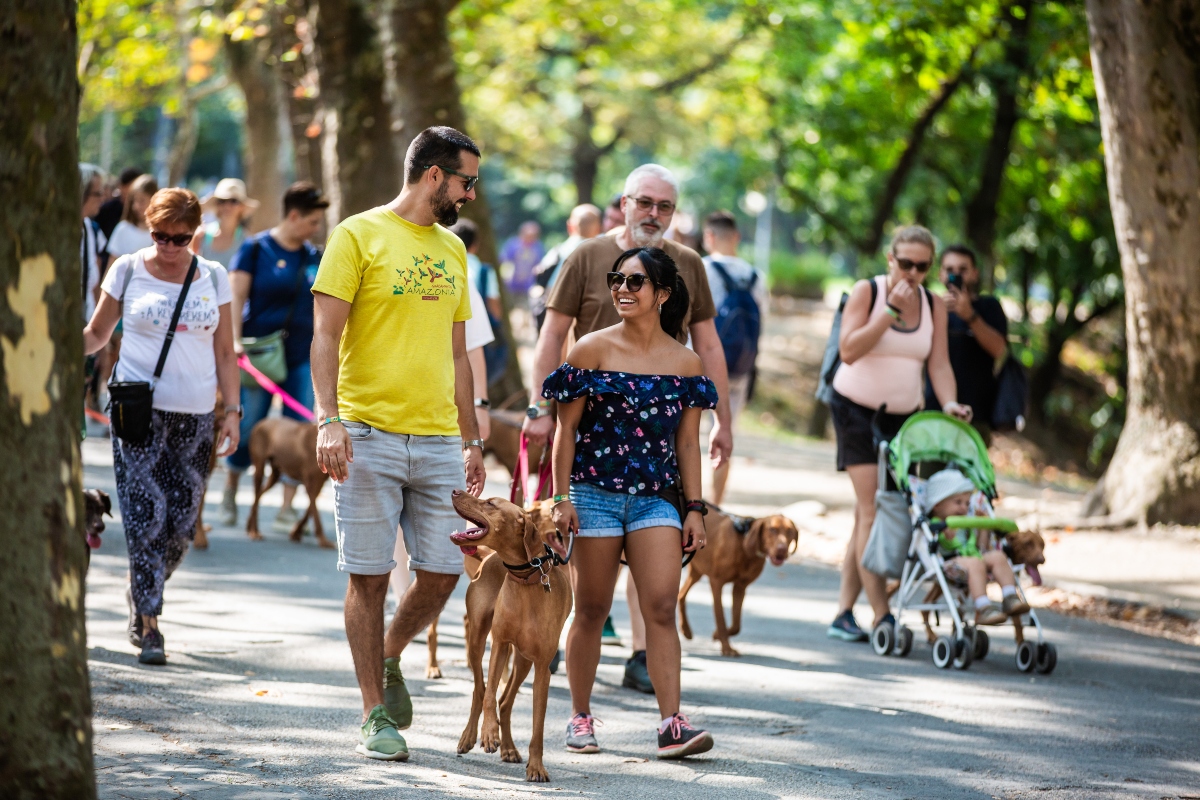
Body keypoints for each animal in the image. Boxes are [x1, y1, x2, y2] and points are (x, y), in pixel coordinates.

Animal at [244, 417, 333, 546]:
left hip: (275, 474)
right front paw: (323, 540)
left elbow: (310, 509)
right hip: (259, 467)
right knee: (256, 497)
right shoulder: (310, 484)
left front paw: (295, 533)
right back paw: (254, 532)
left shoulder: (319, 483)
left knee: (259, 494)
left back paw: (249, 526)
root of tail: (261, 422)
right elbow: (315, 512)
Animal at [451, 491, 573, 786]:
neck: (527, 579)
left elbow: (538, 726)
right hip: (478, 639)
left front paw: (536, 767)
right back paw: (470, 736)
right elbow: (488, 695)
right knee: (480, 689)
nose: (456, 491)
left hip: (523, 660)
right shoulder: (500, 645)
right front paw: (488, 734)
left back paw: (508, 748)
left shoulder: (542, 667)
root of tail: (490, 556)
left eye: (490, 504)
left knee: (505, 701)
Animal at [681, 513, 801, 657]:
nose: (782, 549)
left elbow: (736, 625)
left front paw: (717, 635)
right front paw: (727, 648)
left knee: (680, 595)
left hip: (696, 572)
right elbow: (720, 619)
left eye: (790, 531)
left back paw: (685, 630)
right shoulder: (716, 583)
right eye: (772, 529)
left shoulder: (740, 587)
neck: (743, 543)